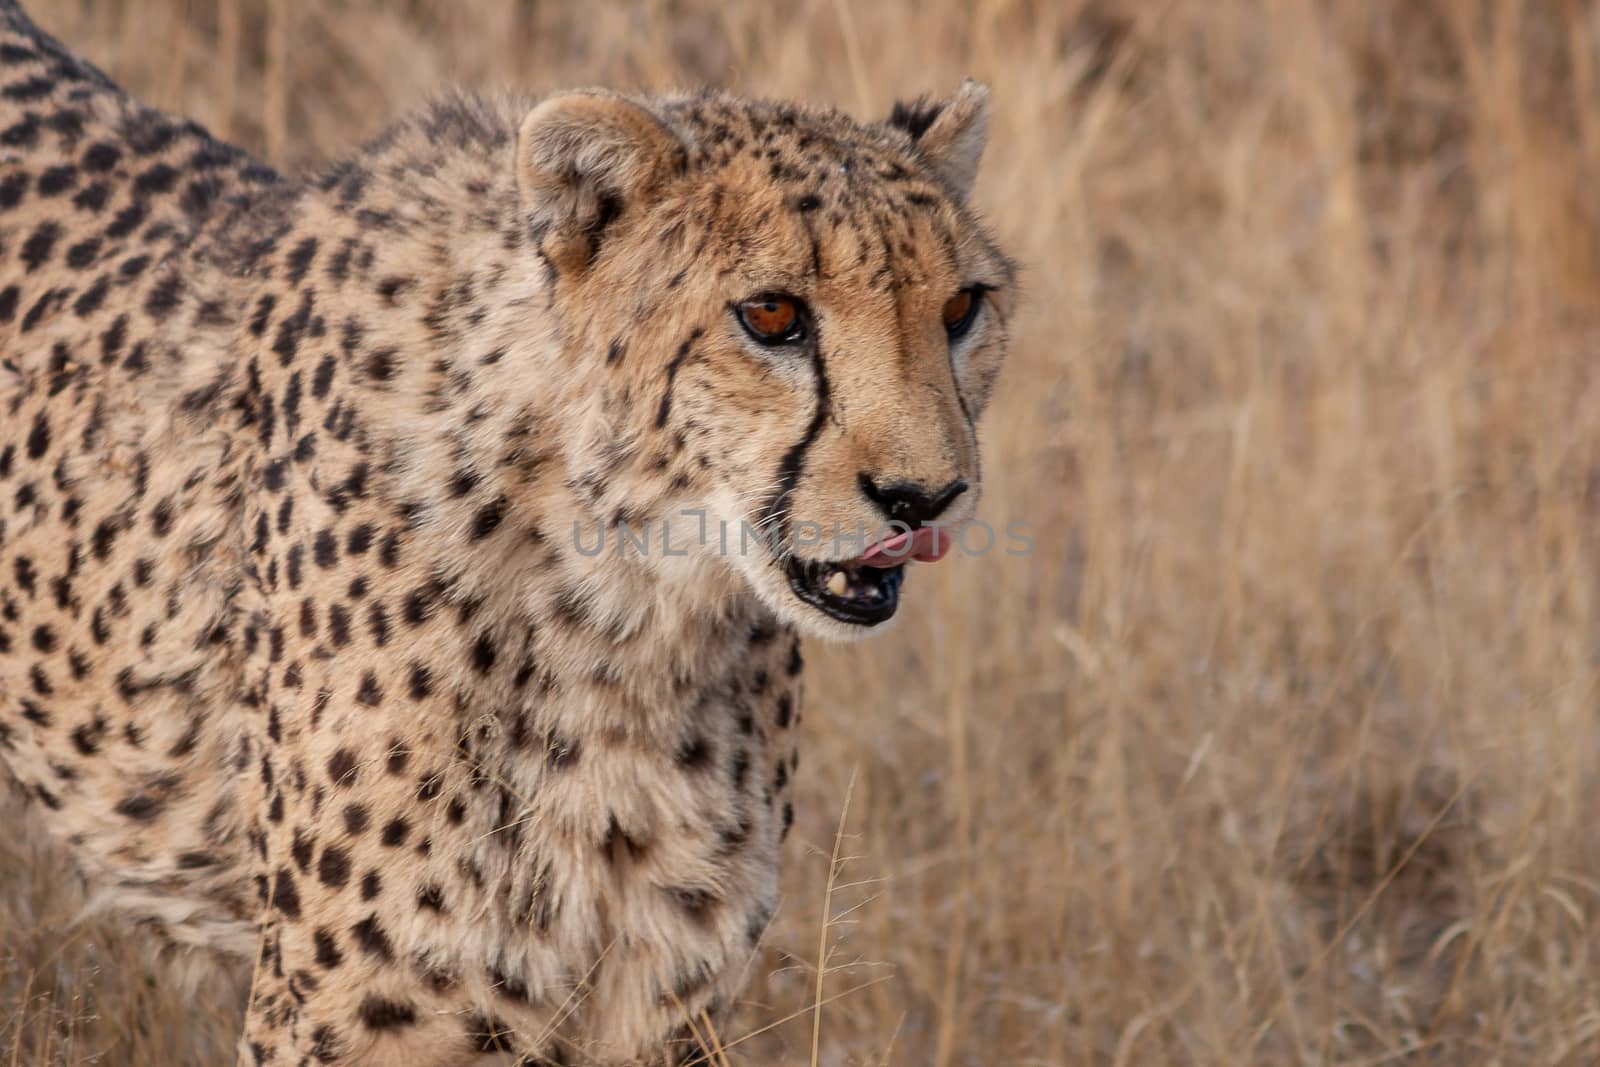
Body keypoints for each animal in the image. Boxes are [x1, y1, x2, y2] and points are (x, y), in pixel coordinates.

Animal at [0, 4, 1017, 1062]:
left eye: (961, 308)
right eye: (771, 314)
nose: (925, 496)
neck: (626, 616)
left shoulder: (661, 1000)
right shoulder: (350, 1009)